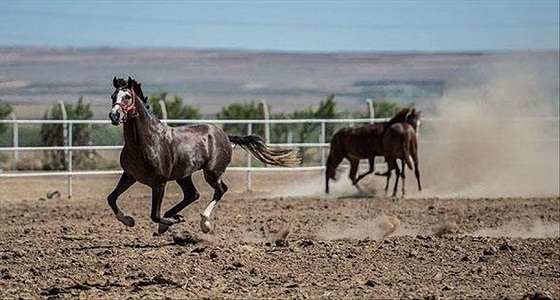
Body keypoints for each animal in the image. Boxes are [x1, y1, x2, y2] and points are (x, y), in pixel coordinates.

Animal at [107, 76, 300, 233]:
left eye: (127, 96)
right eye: (113, 96)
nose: (114, 115)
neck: (145, 143)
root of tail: (224, 135)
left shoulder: (159, 182)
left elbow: (154, 214)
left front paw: (167, 223)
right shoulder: (130, 175)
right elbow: (111, 198)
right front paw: (128, 220)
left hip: (212, 173)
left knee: (220, 190)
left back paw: (203, 223)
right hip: (183, 175)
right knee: (193, 194)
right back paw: (175, 216)